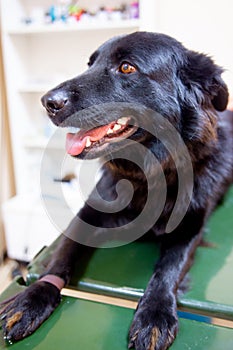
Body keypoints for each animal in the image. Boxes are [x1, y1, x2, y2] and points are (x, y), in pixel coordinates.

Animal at [0, 32, 232, 350]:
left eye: (126, 68)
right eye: (90, 64)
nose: (47, 102)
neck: (148, 175)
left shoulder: (189, 227)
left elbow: (169, 269)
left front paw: (155, 312)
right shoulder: (88, 213)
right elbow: (61, 257)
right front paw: (32, 298)